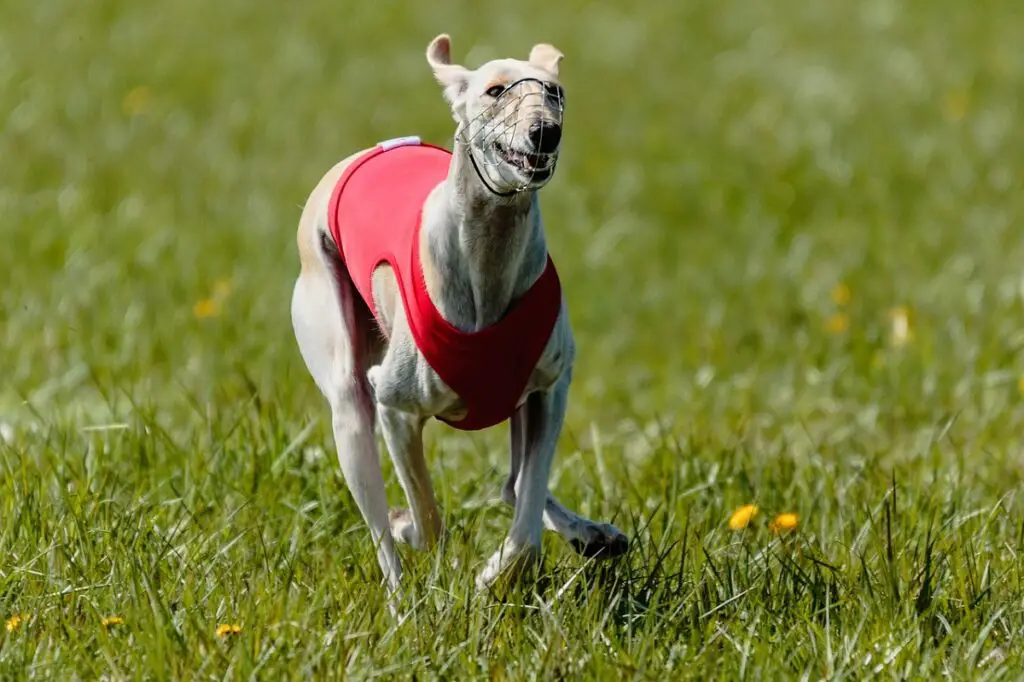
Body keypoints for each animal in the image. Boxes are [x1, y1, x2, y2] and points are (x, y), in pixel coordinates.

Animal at [286, 33, 622, 593]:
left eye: (554, 91)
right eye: (494, 90)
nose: (545, 132)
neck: (488, 259)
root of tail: (371, 151)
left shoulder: (549, 389)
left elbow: (527, 518)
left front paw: (495, 574)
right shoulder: (396, 408)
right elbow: (427, 522)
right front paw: (422, 541)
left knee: (513, 484)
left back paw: (592, 534)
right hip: (349, 398)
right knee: (382, 532)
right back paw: (400, 596)